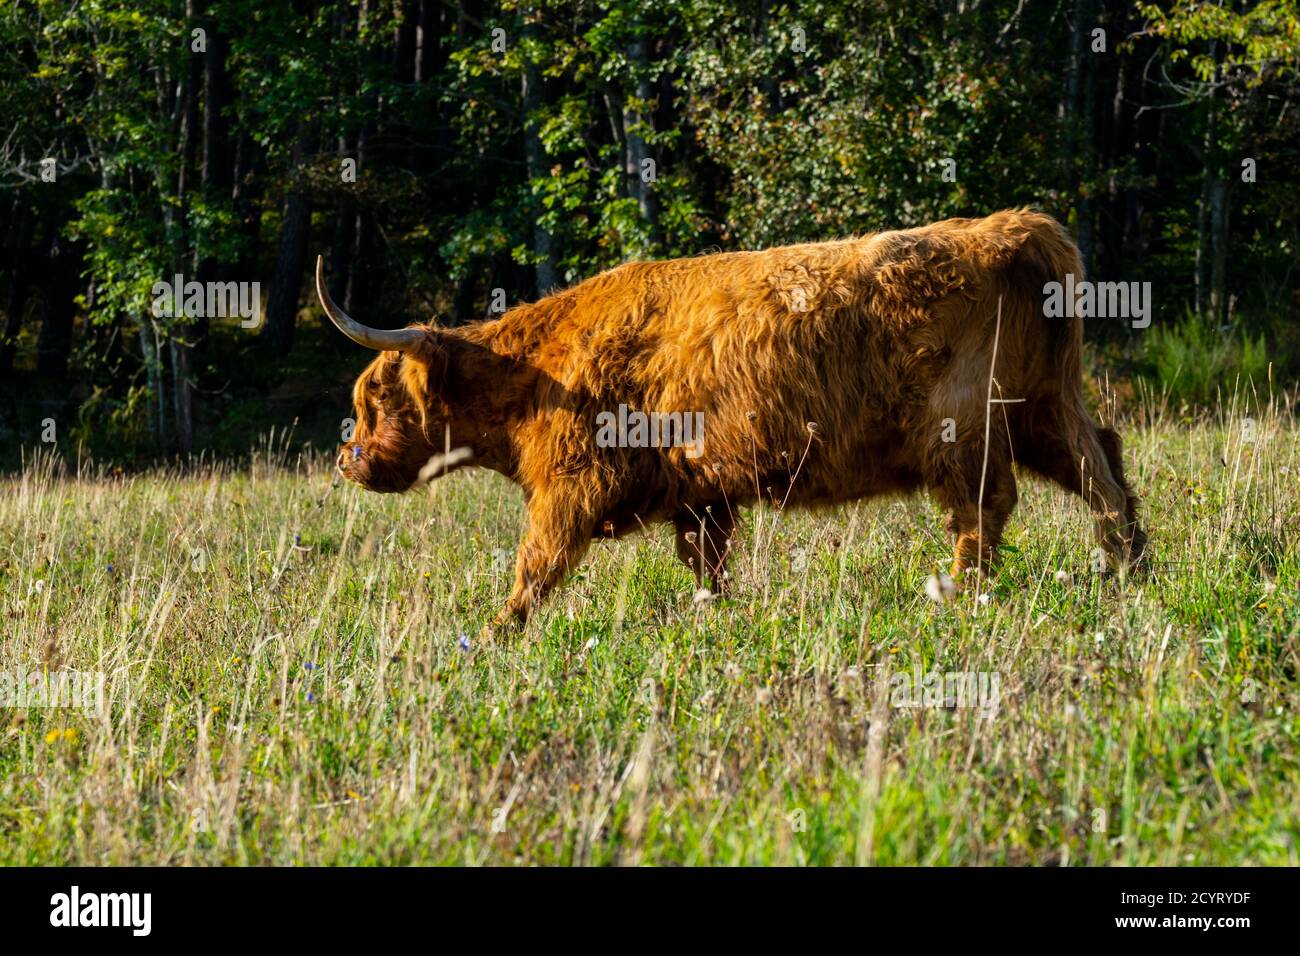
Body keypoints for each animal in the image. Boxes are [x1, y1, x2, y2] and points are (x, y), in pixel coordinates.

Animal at [317, 208, 1146, 628]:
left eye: (375, 398)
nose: (346, 459)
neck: (536, 373)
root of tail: (1013, 227)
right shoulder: (700, 494)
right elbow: (704, 564)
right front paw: (714, 617)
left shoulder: (572, 483)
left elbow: (537, 565)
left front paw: (495, 634)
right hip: (1046, 407)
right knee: (1103, 470)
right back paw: (1131, 568)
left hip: (965, 428)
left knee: (985, 507)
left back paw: (962, 597)